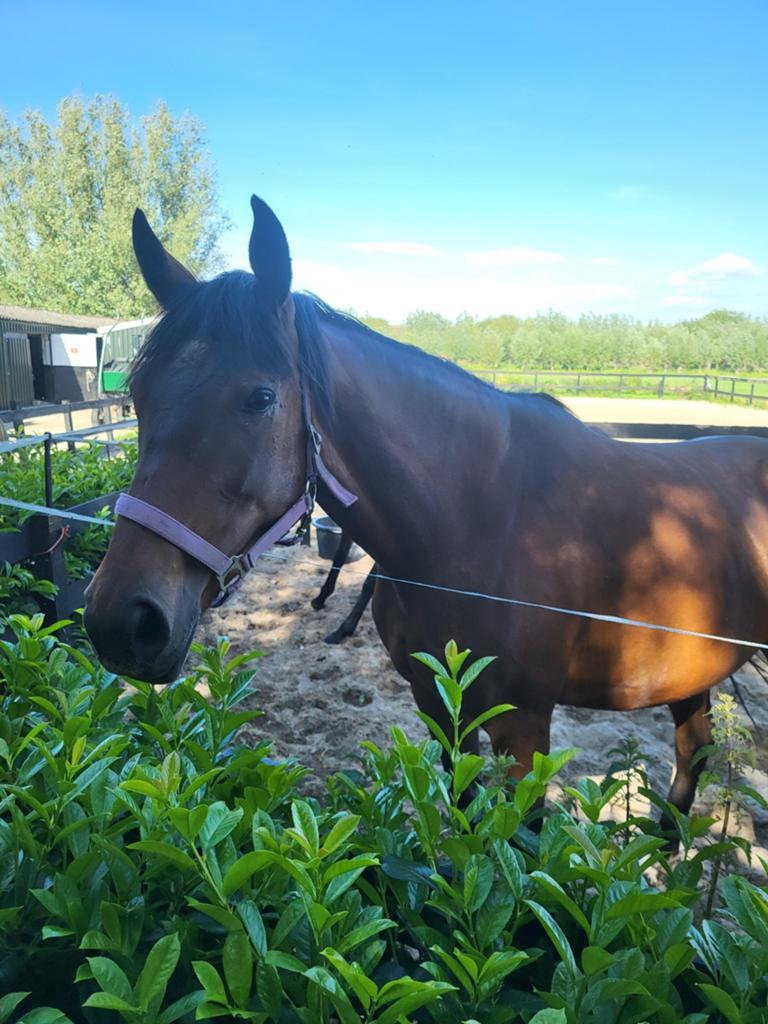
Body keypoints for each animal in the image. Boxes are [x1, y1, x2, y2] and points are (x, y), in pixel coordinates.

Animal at [84, 195, 768, 830]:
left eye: (259, 398)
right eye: (137, 395)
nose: (122, 620)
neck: (479, 524)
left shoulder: (524, 728)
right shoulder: (440, 708)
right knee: (691, 757)